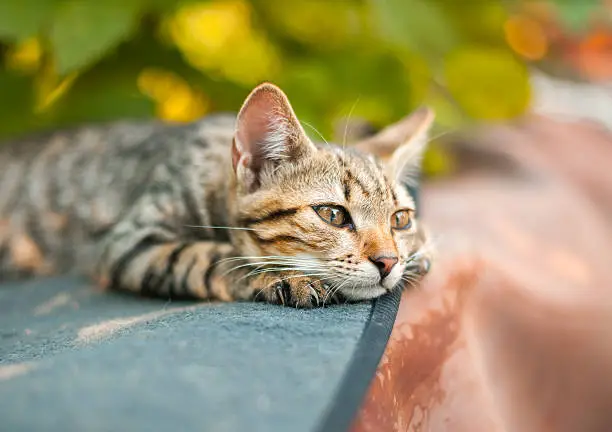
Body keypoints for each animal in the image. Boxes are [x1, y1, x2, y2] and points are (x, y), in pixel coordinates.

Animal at [0, 83, 432, 308]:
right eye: (333, 215)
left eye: (400, 220)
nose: (389, 261)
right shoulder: (131, 239)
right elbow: (208, 254)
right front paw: (282, 275)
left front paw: (420, 251)